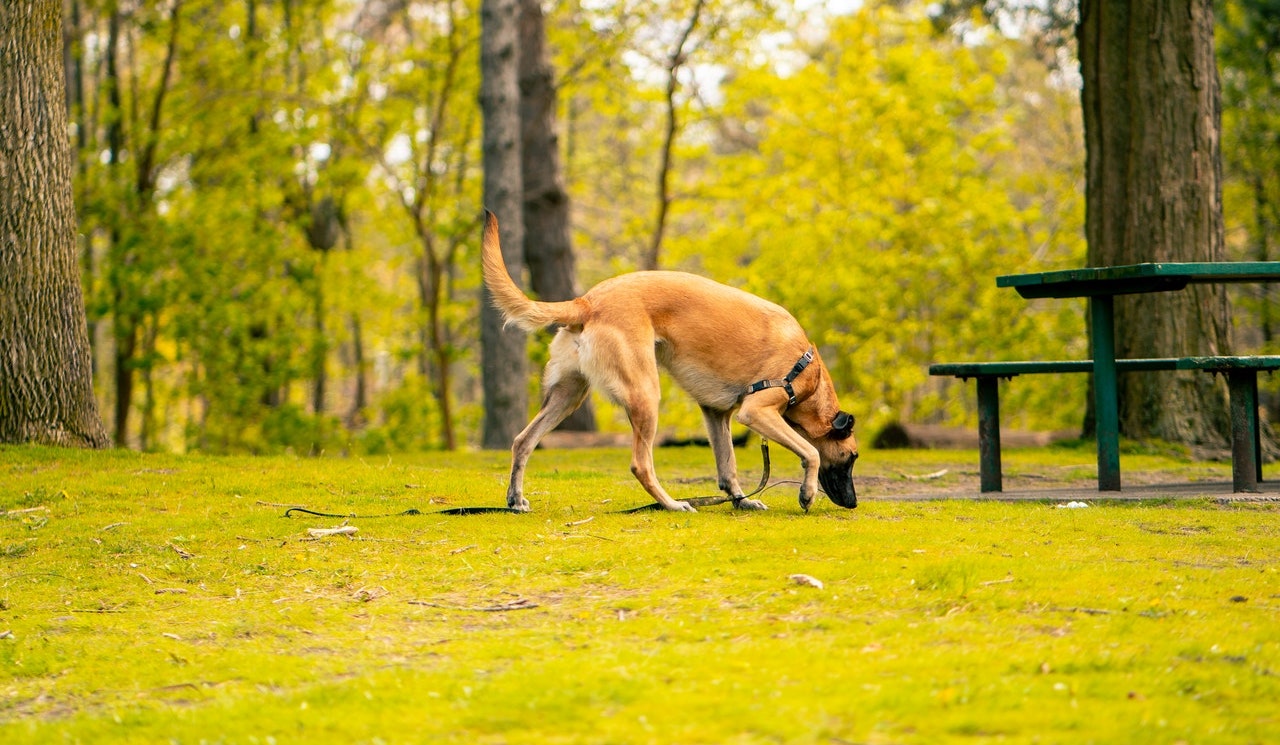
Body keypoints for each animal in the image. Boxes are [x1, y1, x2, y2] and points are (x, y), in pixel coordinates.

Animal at [481, 209, 860, 514]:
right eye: (851, 457)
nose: (854, 503)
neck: (808, 370)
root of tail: (586, 301)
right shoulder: (757, 411)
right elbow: (811, 452)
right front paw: (807, 494)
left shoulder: (716, 413)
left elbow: (728, 467)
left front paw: (742, 501)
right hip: (645, 393)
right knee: (641, 464)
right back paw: (672, 504)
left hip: (568, 396)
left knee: (523, 441)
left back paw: (515, 500)